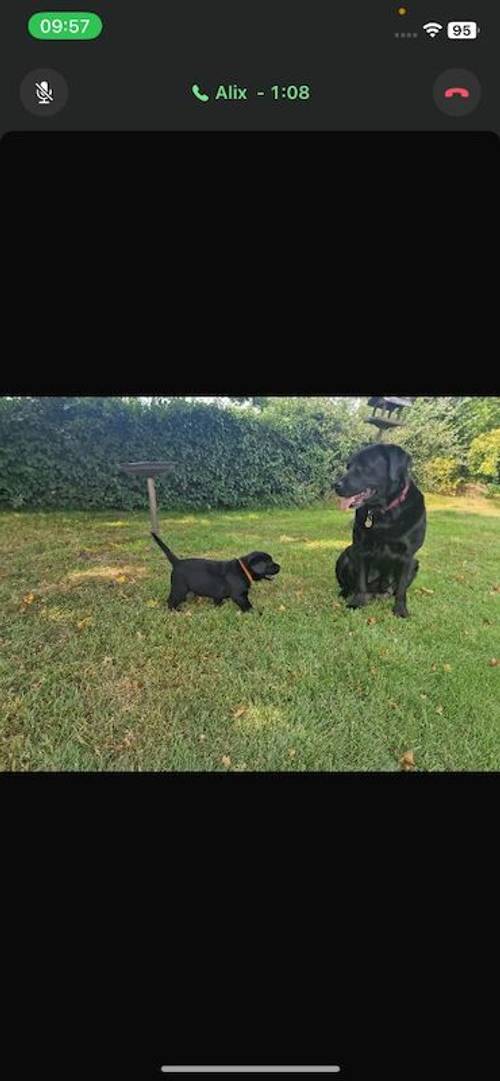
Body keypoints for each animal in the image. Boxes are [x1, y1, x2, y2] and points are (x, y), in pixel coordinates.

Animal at [151, 529, 280, 614]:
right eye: (270, 563)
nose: (280, 566)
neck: (243, 569)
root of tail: (177, 562)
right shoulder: (239, 595)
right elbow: (247, 605)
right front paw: (255, 612)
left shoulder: (218, 593)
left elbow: (218, 598)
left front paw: (219, 606)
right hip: (179, 588)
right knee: (170, 601)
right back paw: (175, 611)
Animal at [336, 445, 427, 618]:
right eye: (348, 466)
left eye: (364, 467)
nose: (335, 485)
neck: (385, 512)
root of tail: (377, 593)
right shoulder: (361, 549)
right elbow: (361, 583)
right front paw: (357, 603)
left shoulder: (408, 556)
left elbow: (401, 589)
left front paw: (400, 610)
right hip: (346, 555)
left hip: (416, 563)